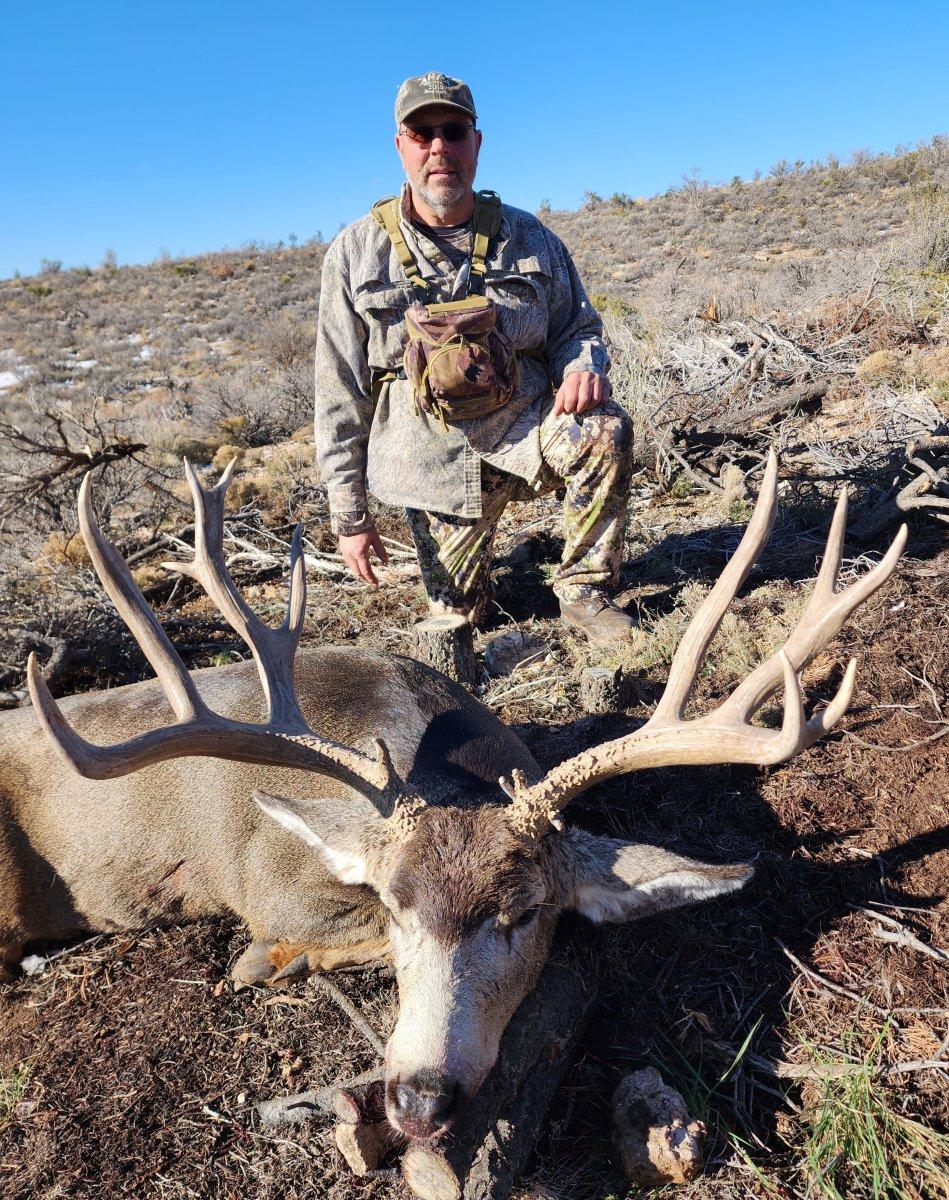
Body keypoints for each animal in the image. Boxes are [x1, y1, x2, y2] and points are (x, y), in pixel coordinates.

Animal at [0, 451, 907, 1132]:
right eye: (396, 905)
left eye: (526, 912)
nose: (418, 1098)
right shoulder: (271, 884)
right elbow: (294, 942)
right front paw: (267, 960)